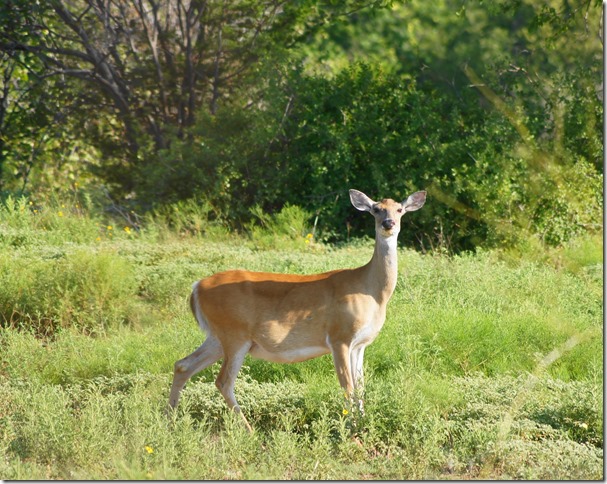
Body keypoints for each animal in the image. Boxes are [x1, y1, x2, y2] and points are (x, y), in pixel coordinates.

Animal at [166, 188, 428, 432]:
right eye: (376, 209)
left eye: (399, 209)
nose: (388, 224)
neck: (371, 292)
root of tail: (196, 287)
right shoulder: (339, 336)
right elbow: (348, 386)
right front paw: (352, 429)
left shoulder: (360, 344)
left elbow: (361, 387)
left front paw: (362, 423)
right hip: (234, 333)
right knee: (223, 381)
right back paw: (249, 431)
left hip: (217, 336)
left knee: (183, 365)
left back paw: (170, 420)